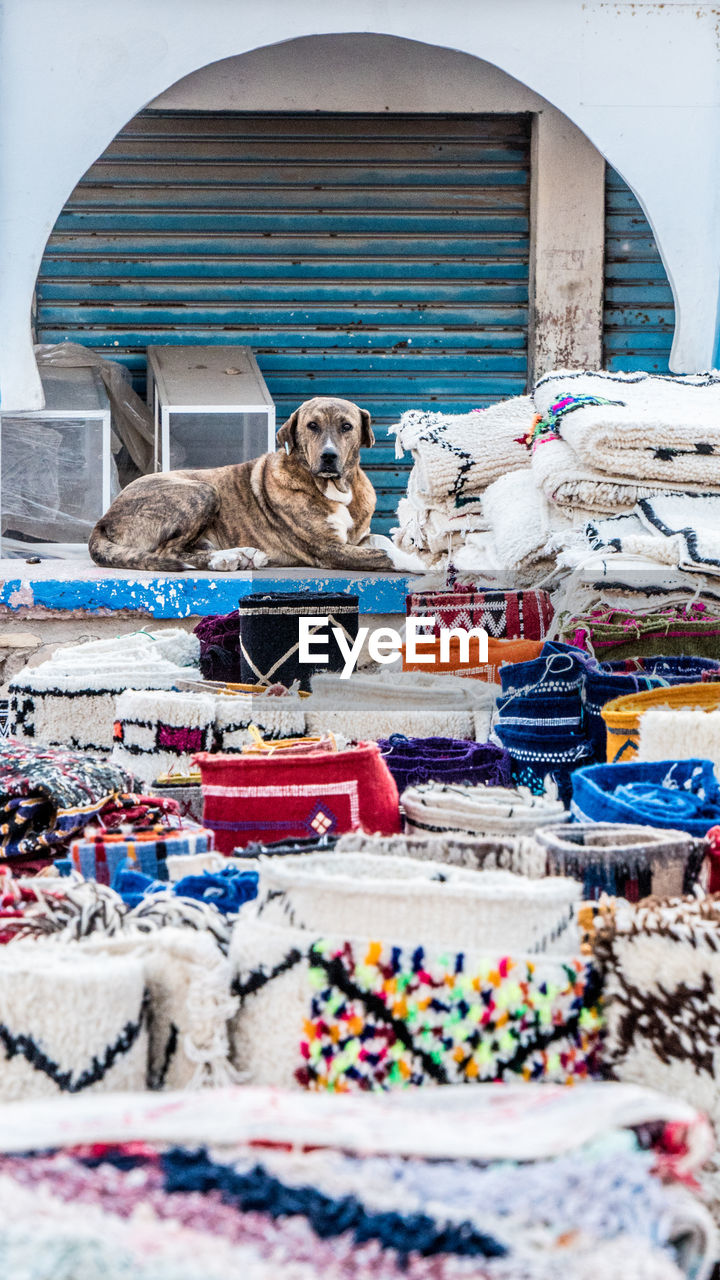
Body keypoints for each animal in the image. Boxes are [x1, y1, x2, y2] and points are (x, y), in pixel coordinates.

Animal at [88, 396, 415, 573]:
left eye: (347, 427)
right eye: (312, 426)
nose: (328, 456)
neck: (338, 491)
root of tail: (104, 518)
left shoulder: (358, 540)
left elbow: (384, 542)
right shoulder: (330, 549)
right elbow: (388, 555)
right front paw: (423, 565)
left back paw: (240, 555)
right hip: (203, 490)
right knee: (166, 552)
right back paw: (228, 558)